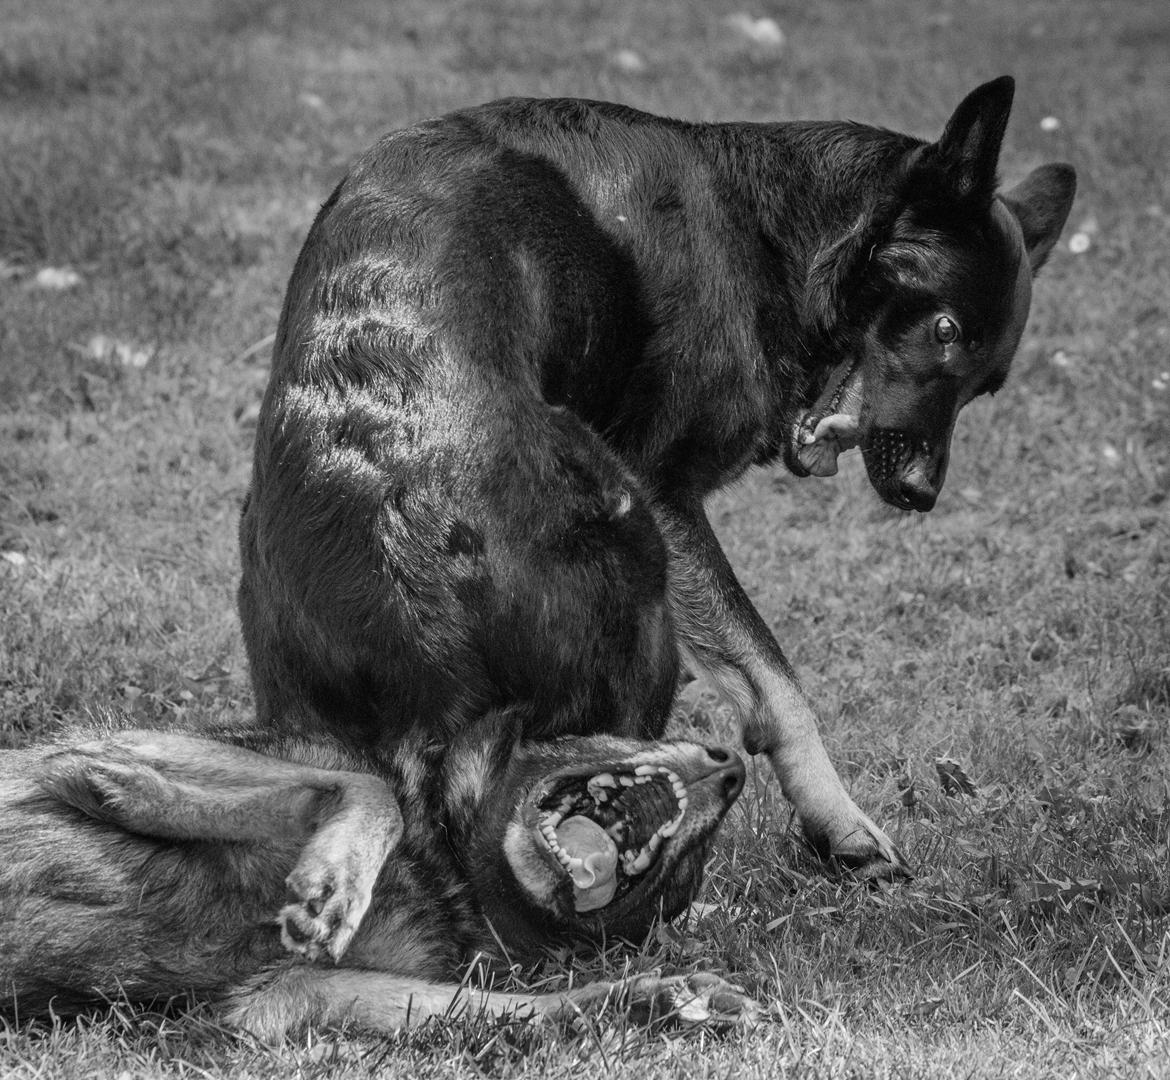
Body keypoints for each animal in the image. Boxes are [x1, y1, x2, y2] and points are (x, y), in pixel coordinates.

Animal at [242, 78, 1071, 879]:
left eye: (986, 387)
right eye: (944, 331)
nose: (919, 495)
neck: (773, 232)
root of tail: (409, 567)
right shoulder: (667, 494)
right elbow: (775, 680)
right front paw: (842, 823)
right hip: (639, 571)